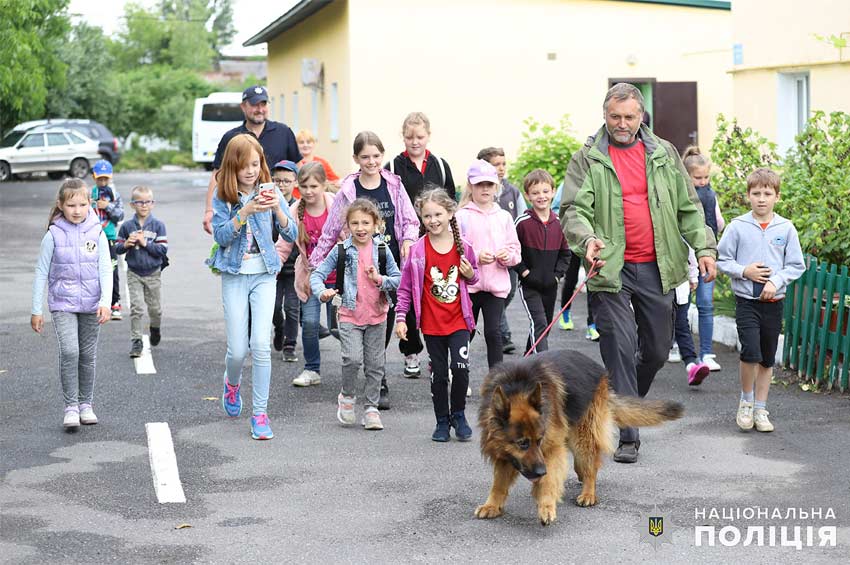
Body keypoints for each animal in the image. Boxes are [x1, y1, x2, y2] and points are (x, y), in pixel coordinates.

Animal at [470, 348, 684, 524]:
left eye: (539, 440)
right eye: (522, 443)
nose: (541, 471)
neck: (517, 385)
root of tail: (598, 368)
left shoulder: (551, 448)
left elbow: (550, 480)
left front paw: (546, 505)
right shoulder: (505, 453)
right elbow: (499, 482)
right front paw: (492, 505)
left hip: (583, 433)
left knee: (590, 463)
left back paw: (588, 492)